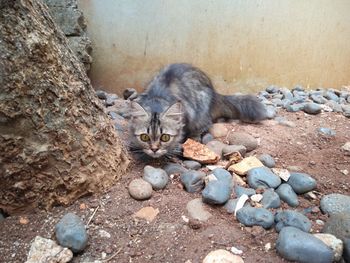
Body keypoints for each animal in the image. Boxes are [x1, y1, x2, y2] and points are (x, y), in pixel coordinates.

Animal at [129, 63, 268, 159]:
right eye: (144, 137)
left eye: (165, 137)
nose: (154, 149)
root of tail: (214, 93)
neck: (157, 97)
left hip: (201, 111)